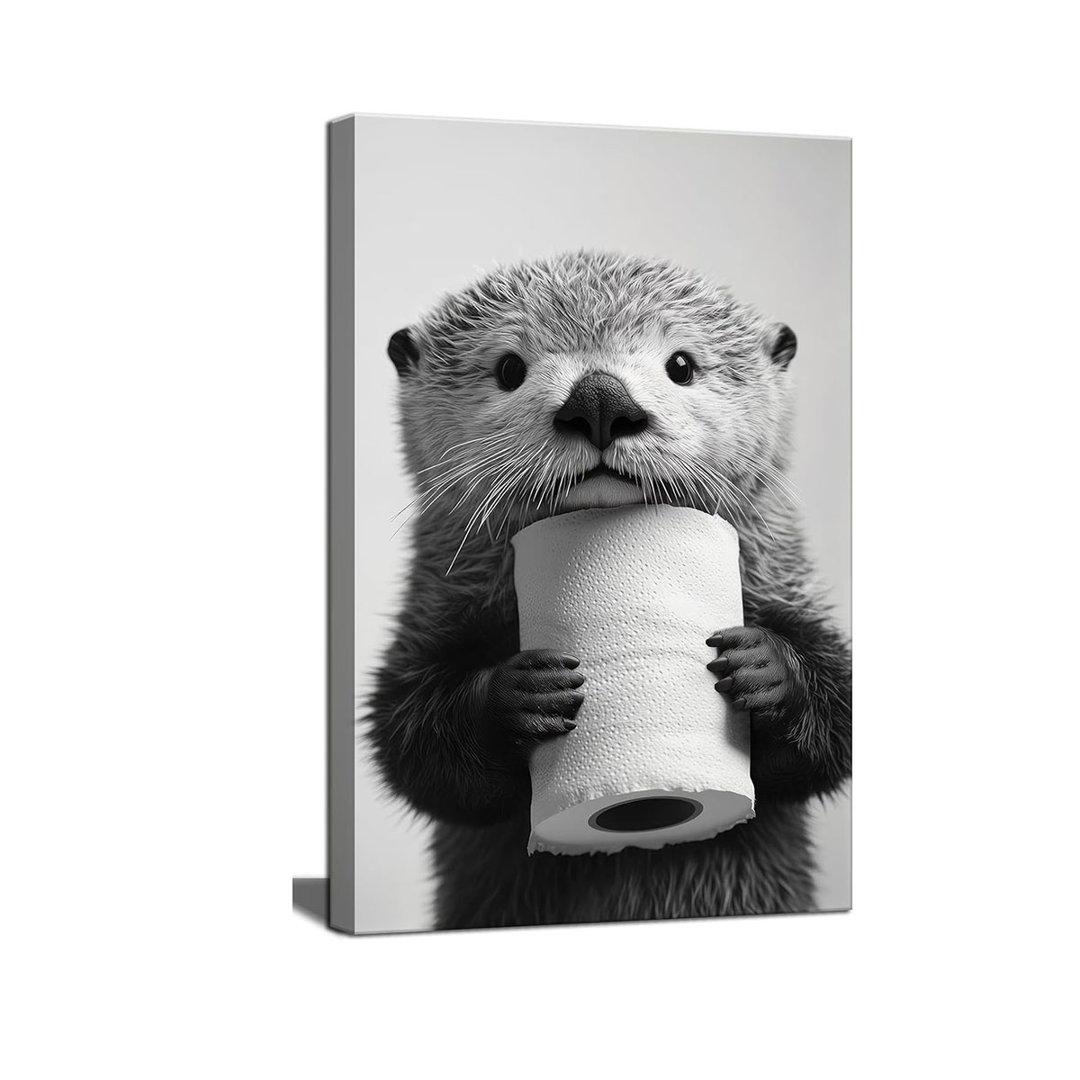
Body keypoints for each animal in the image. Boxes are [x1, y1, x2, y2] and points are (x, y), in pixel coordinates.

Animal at [367, 251, 851, 929]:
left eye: (682, 365)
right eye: (510, 368)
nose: (599, 399)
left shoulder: (787, 582)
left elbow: (836, 723)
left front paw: (766, 667)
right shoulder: (431, 612)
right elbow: (412, 742)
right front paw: (518, 693)